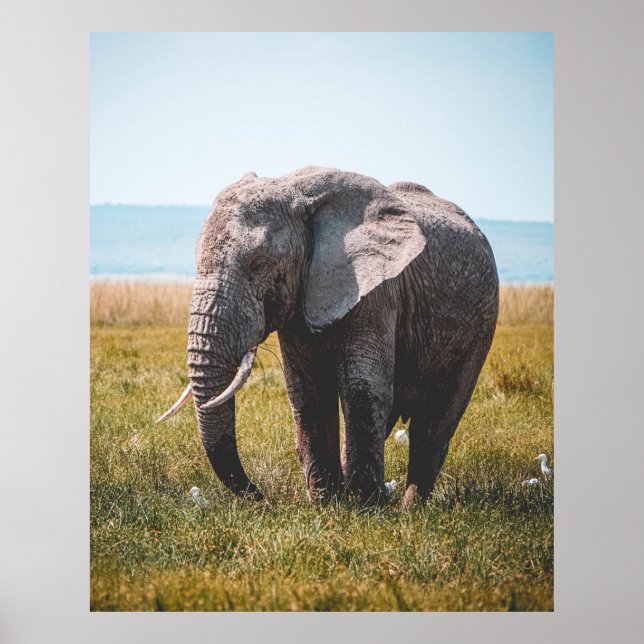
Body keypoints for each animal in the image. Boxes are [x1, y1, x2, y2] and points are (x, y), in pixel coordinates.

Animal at [157, 167, 499, 507]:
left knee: (436, 422)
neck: (295, 191)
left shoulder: (377, 293)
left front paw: (364, 507)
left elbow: (362, 388)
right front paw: (326, 504)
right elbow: (307, 391)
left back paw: (408, 509)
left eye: (259, 266)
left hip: (481, 325)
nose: (262, 498)